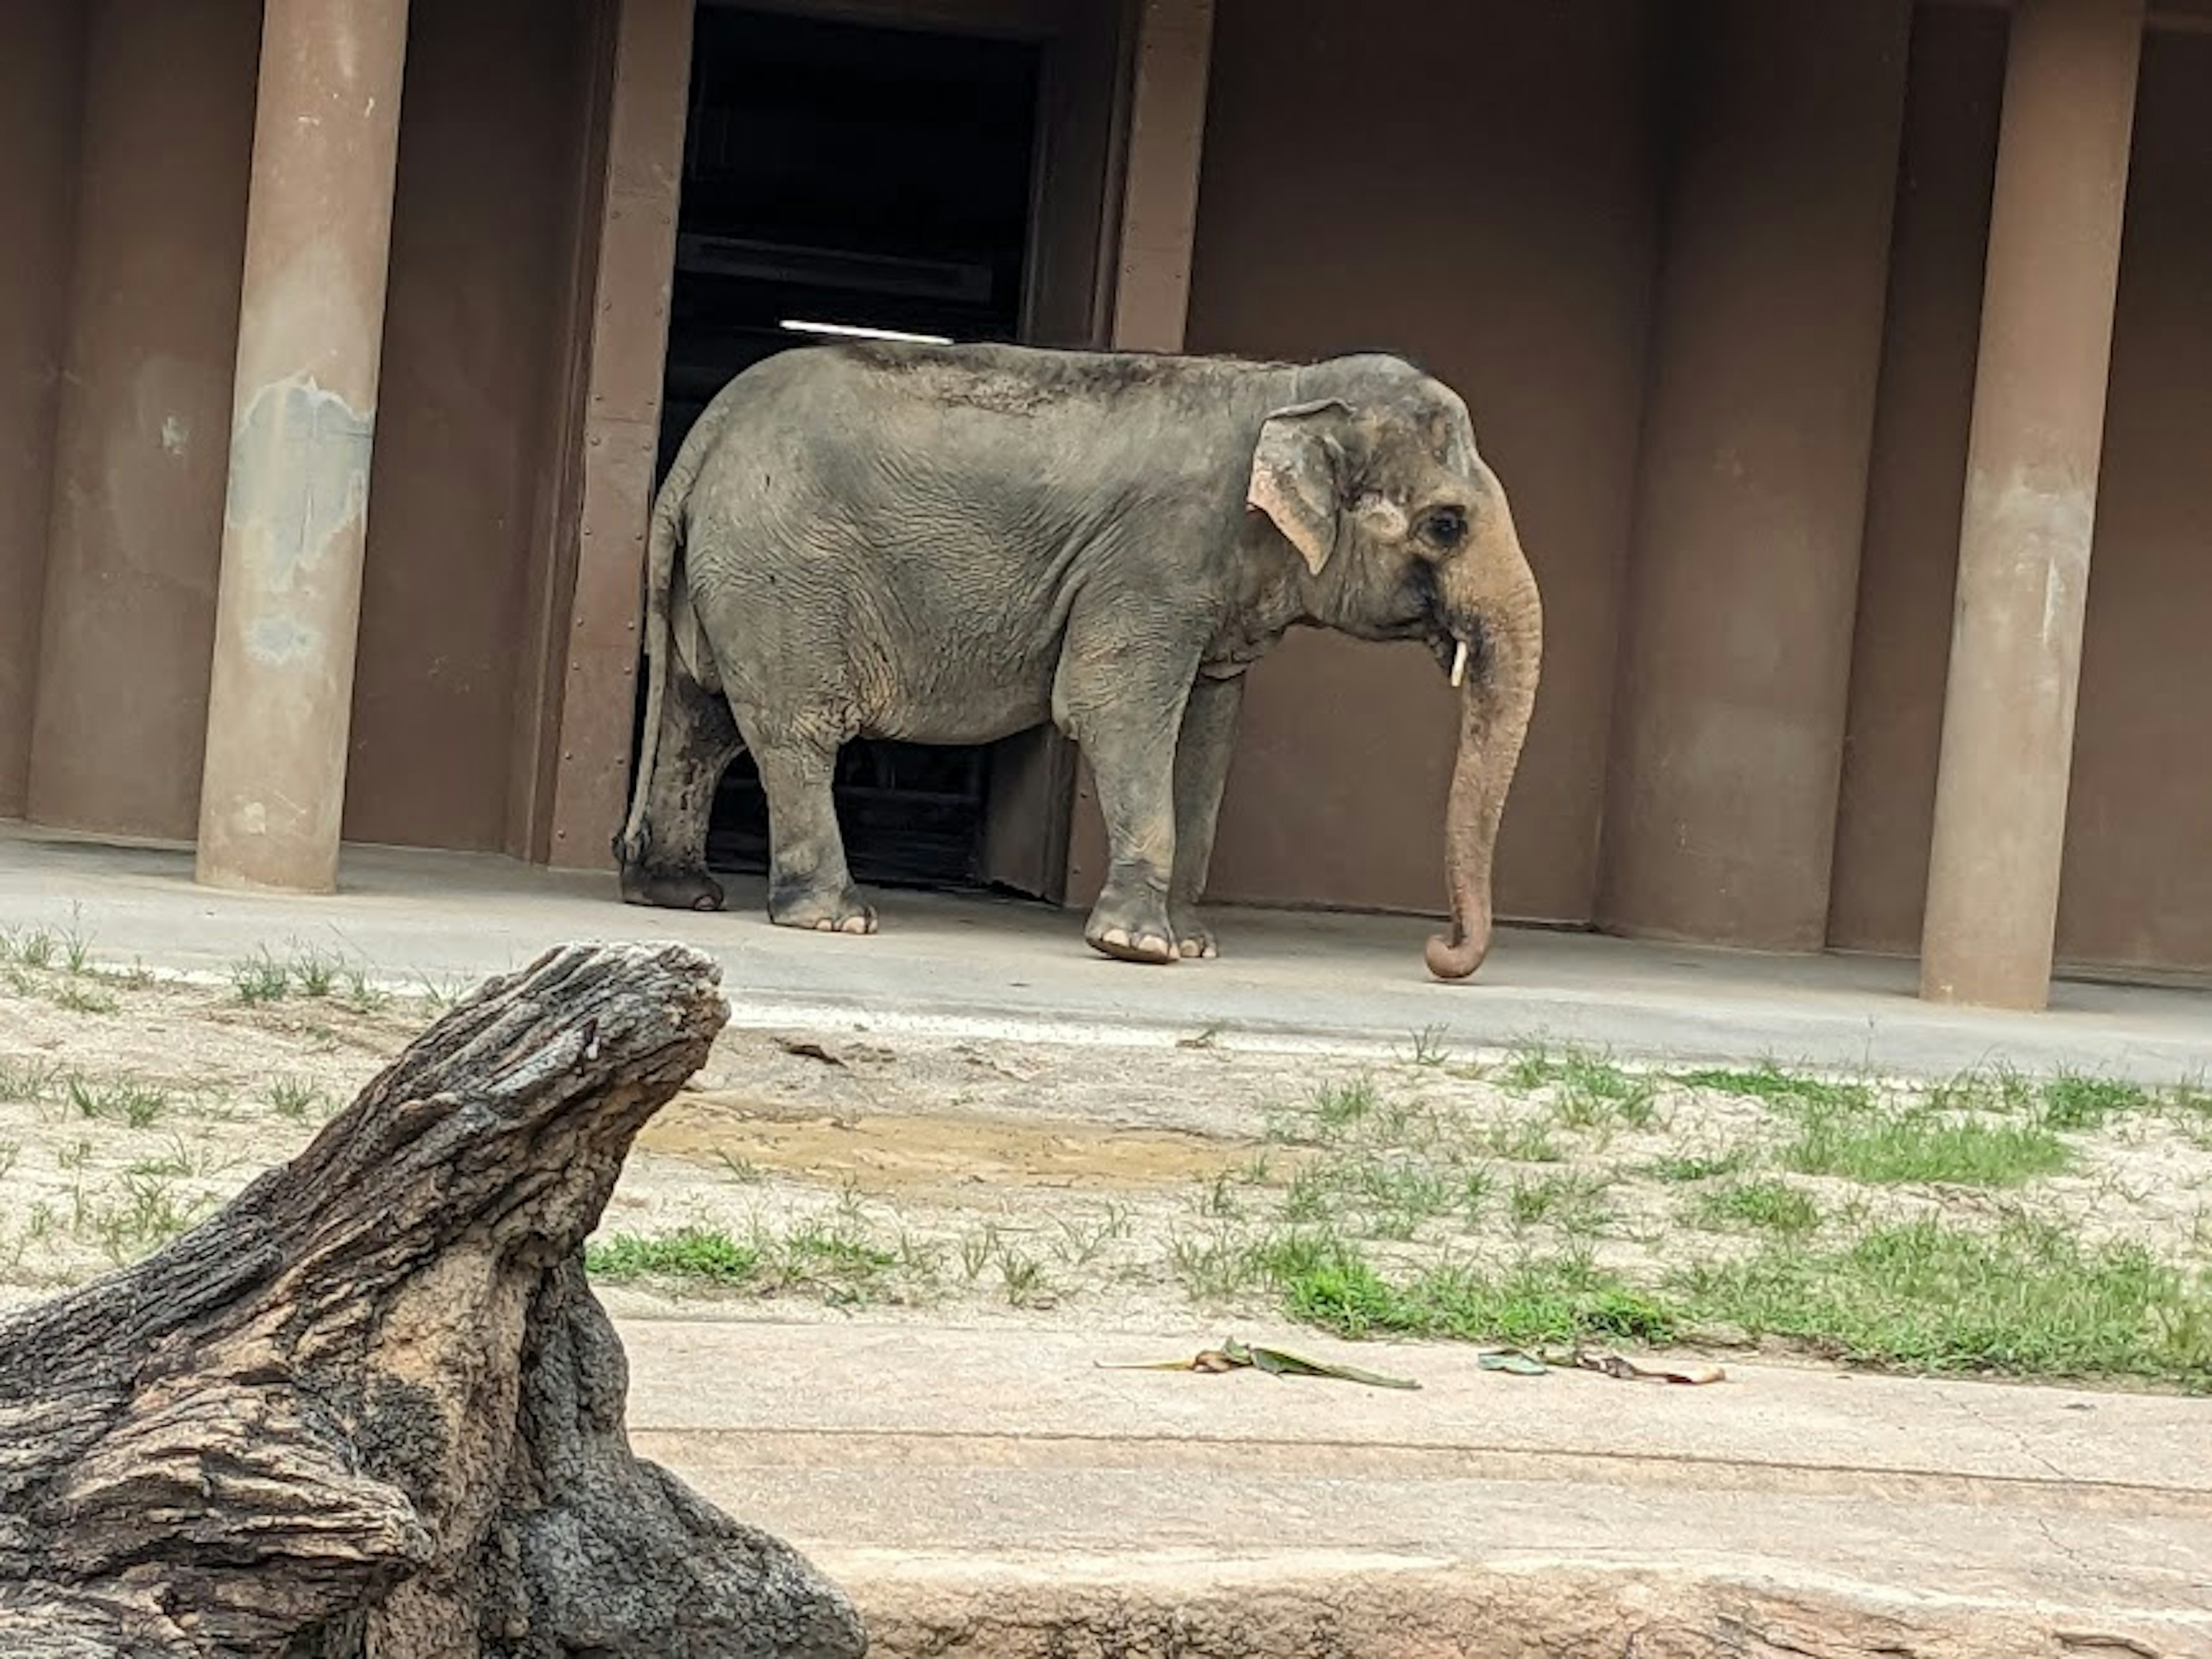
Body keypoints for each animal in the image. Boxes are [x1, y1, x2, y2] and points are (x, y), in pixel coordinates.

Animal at [606, 343, 1539, 982]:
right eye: (1446, 525)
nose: (1439, 950)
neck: (1289, 389)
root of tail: (703, 438)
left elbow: (1206, 733)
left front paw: (1193, 944)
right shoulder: (1153, 559)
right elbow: (1114, 707)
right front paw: (1140, 948)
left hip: (724, 577)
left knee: (698, 719)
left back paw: (680, 895)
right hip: (785, 577)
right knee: (794, 732)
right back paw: (836, 920)